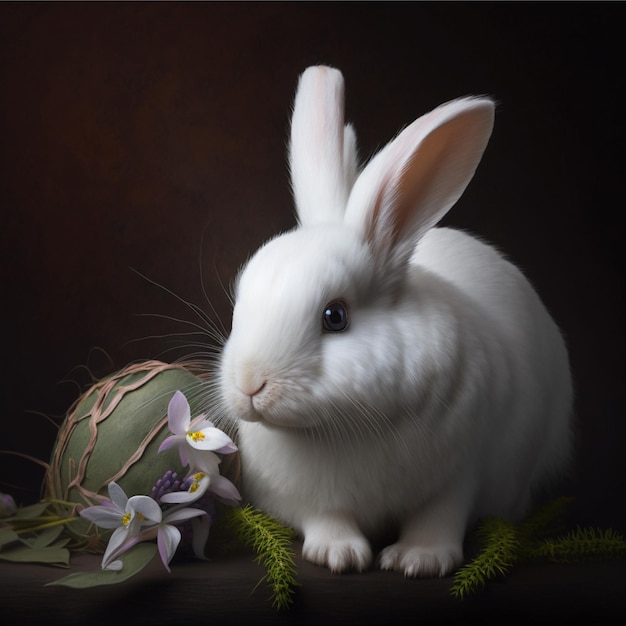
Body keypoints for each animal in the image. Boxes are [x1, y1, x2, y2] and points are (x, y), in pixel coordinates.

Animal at [216, 67, 572, 576]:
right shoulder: (307, 498)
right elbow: (327, 519)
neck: (340, 428)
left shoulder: (459, 477)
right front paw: (339, 554)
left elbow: (438, 519)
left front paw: (418, 560)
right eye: (238, 308)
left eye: (335, 317)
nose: (249, 384)